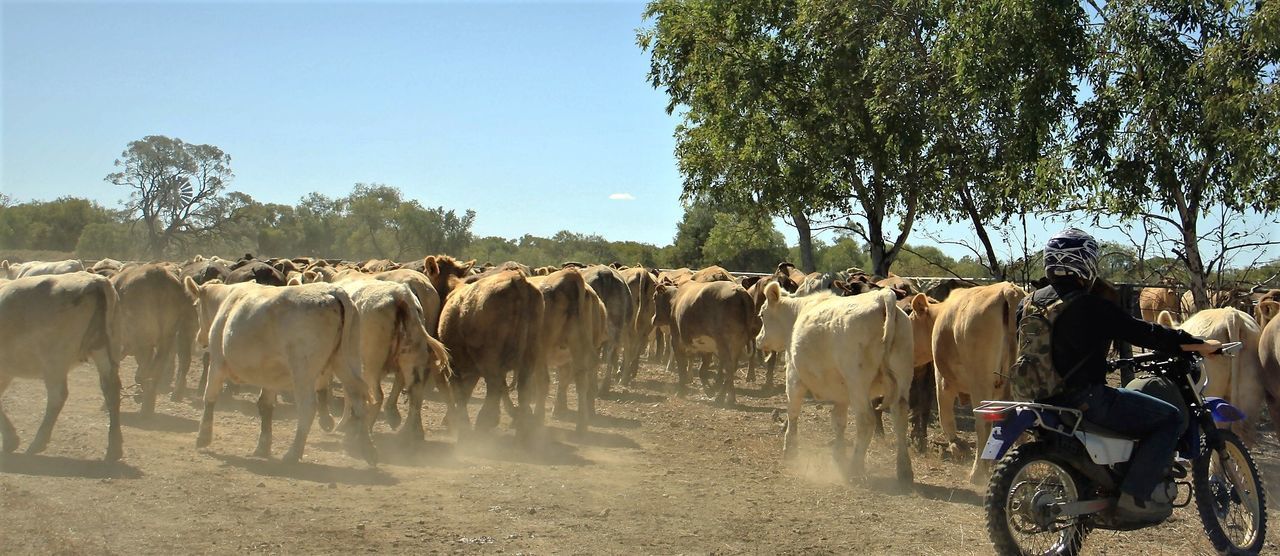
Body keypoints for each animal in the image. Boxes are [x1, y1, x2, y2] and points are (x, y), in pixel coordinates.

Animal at [0, 272, 120, 461]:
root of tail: (94, 281)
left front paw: (11, 440)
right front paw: (10, 440)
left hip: (54, 359)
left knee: (57, 396)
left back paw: (37, 444)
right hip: (103, 347)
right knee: (112, 389)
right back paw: (114, 449)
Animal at [184, 278, 373, 463]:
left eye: (195, 305)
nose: (199, 339)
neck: (227, 301)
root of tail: (333, 292)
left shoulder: (217, 361)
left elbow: (209, 396)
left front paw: (203, 437)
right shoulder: (270, 376)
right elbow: (265, 406)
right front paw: (263, 446)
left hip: (303, 372)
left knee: (307, 408)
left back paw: (293, 453)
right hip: (347, 360)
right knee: (358, 399)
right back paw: (368, 449)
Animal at [752, 281, 916, 481]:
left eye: (762, 314)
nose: (758, 339)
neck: (797, 313)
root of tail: (881, 298)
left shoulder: (793, 375)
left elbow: (793, 411)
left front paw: (790, 450)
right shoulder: (841, 392)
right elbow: (838, 421)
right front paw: (839, 455)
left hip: (858, 383)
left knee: (866, 421)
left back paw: (855, 468)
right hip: (902, 378)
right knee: (900, 419)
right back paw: (904, 471)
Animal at [906, 281, 1024, 481]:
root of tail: (1007, 290)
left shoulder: (943, 381)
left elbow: (945, 416)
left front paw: (957, 447)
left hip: (980, 384)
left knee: (983, 424)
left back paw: (977, 473)